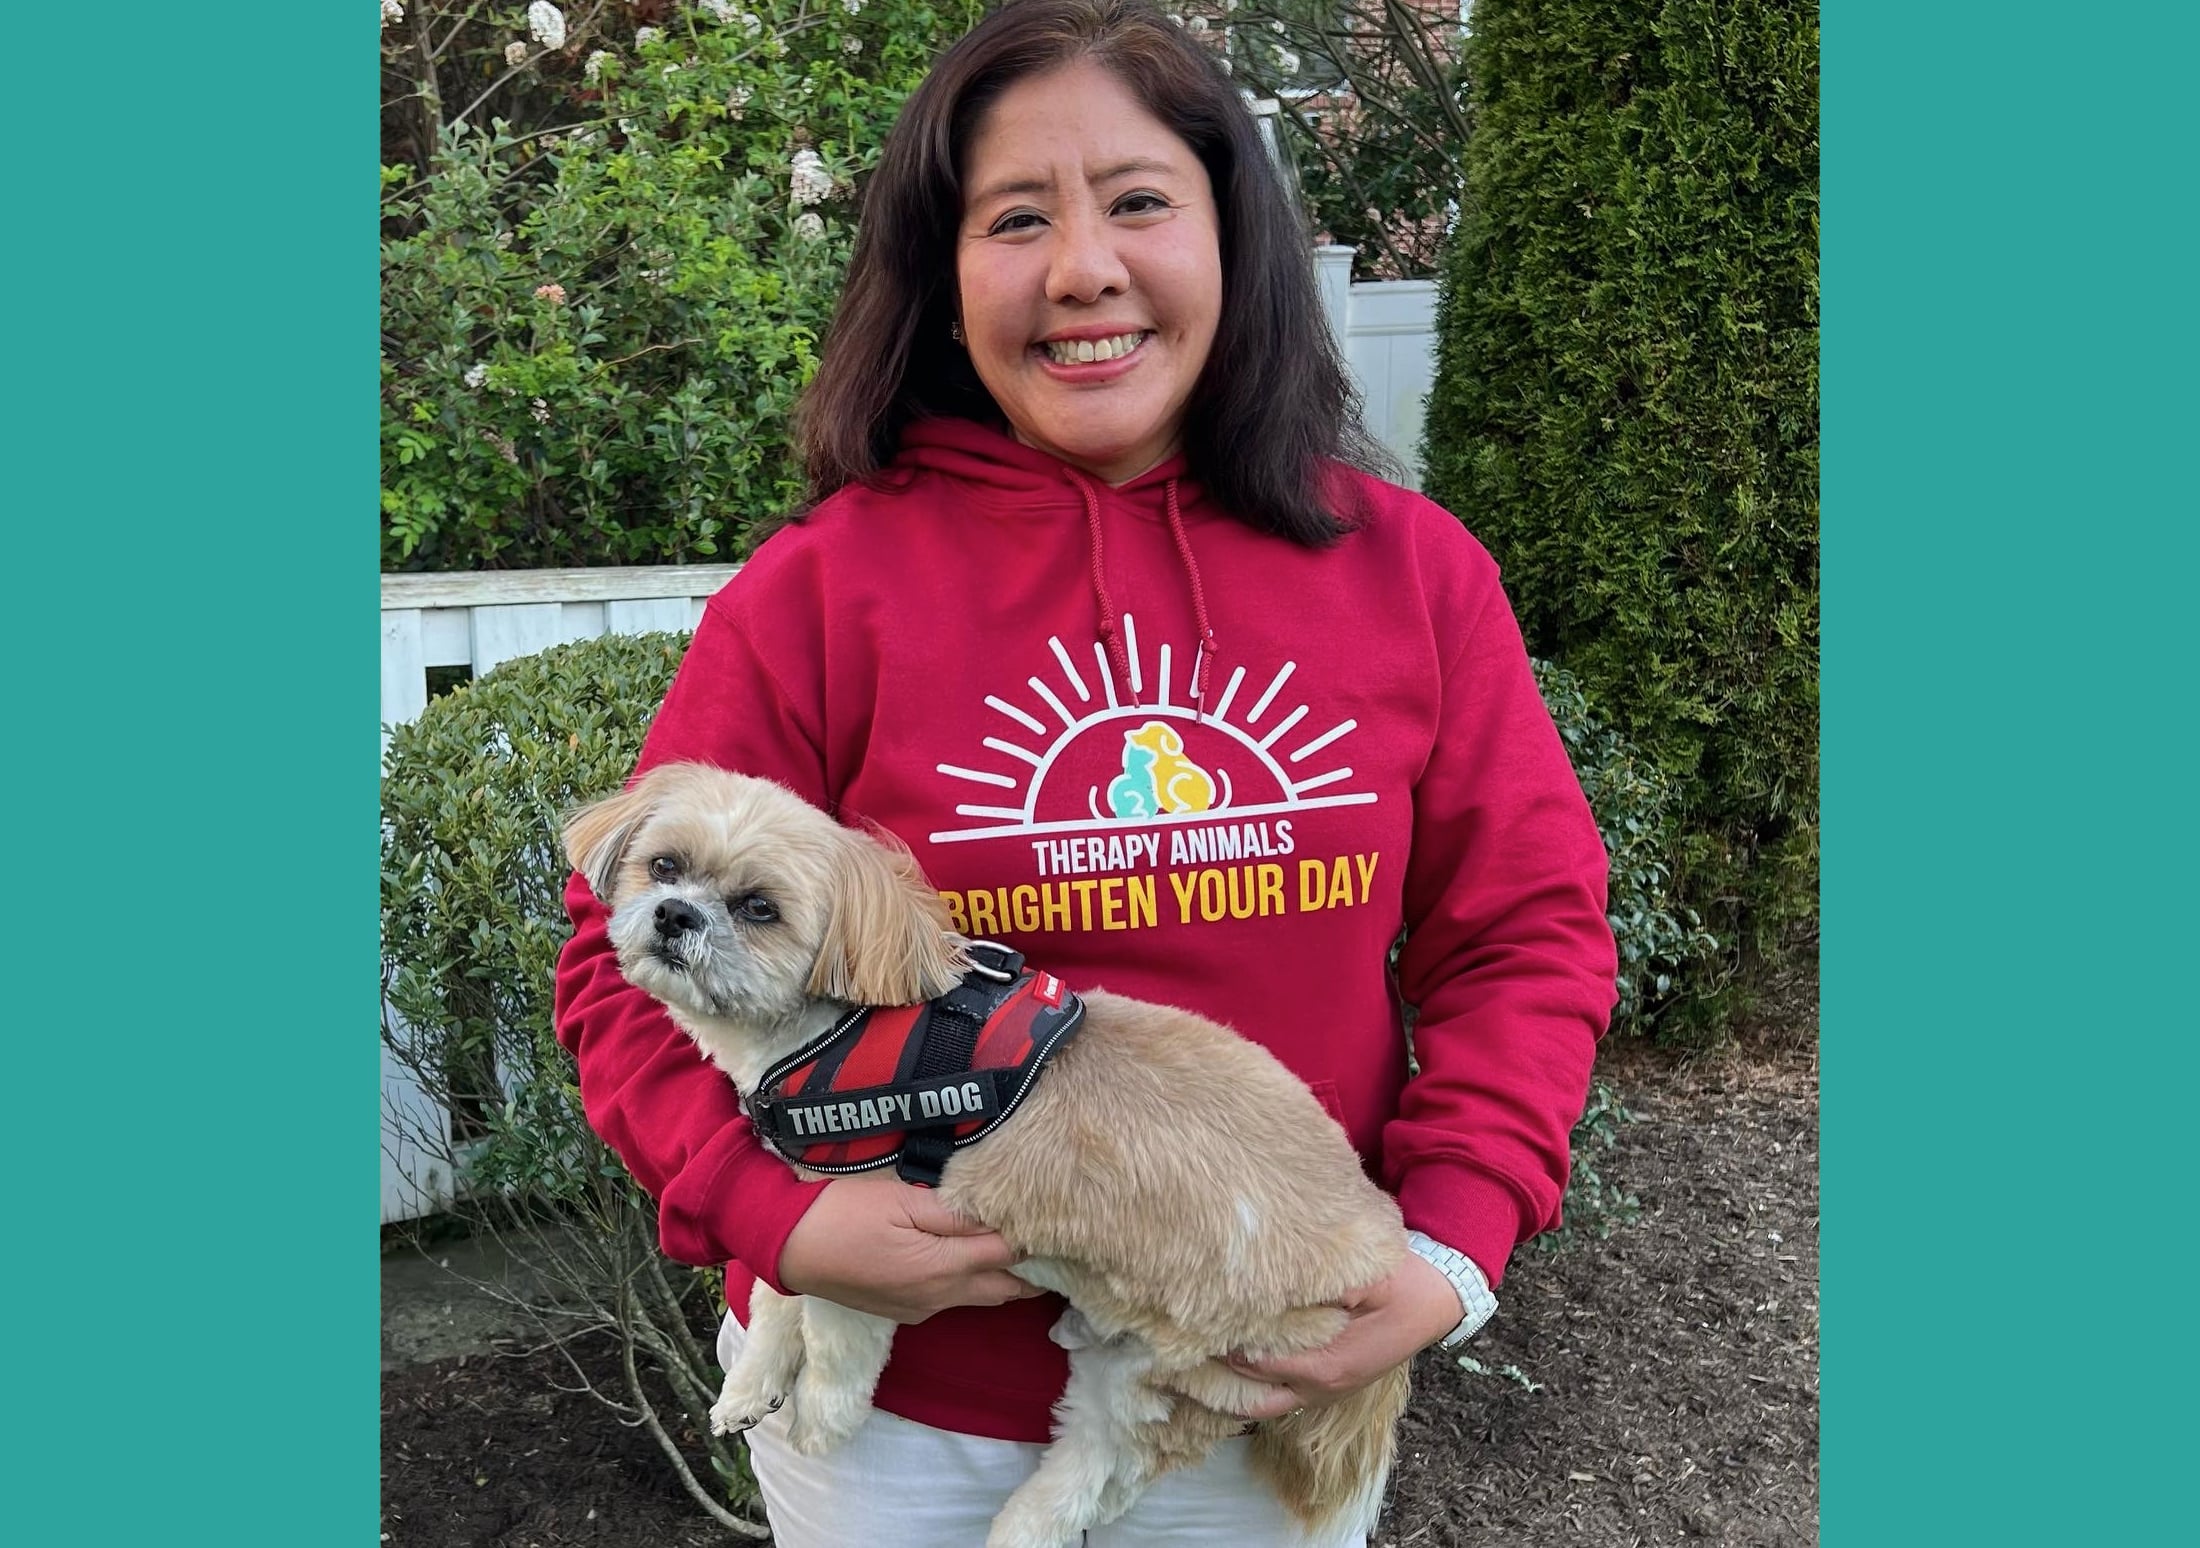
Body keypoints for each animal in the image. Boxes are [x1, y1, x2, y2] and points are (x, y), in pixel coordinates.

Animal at [554, 765, 1408, 1548]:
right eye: (664, 865)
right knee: (1102, 1473)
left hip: (1199, 1368)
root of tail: (1380, 1242)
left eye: (758, 907)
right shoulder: (813, 1199)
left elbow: (834, 1338)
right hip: (1137, 1363)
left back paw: (1019, 1526)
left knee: (1107, 1463)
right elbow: (776, 1295)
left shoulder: (863, 1232)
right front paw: (751, 1385)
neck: (833, 1027)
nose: (674, 913)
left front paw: (821, 1417)